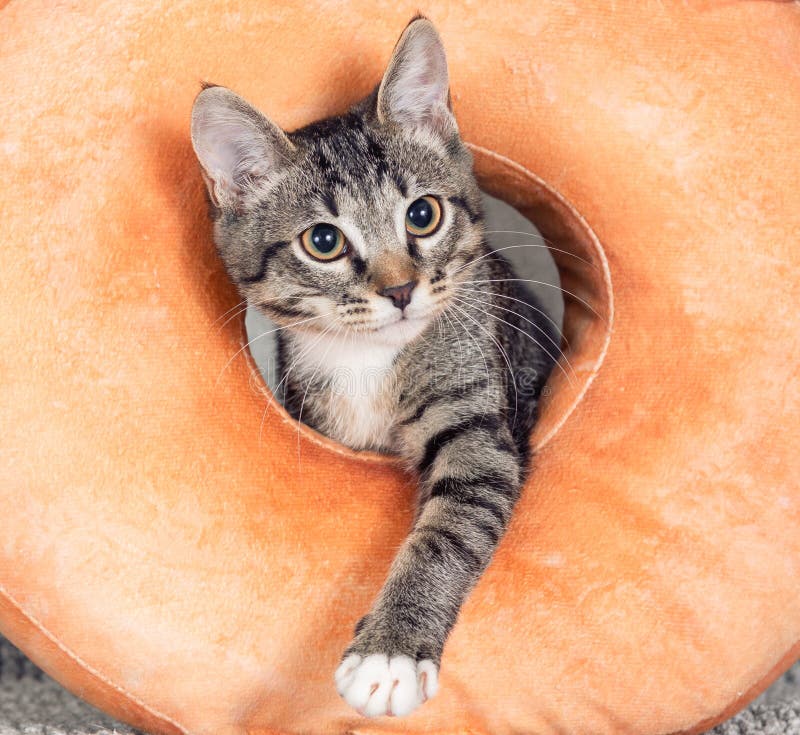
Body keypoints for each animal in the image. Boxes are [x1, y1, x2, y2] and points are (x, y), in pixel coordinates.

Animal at [191, 15, 560, 720]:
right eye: (323, 241)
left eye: (423, 214)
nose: (400, 290)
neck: (365, 360)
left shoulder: (477, 414)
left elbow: (451, 526)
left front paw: (390, 654)